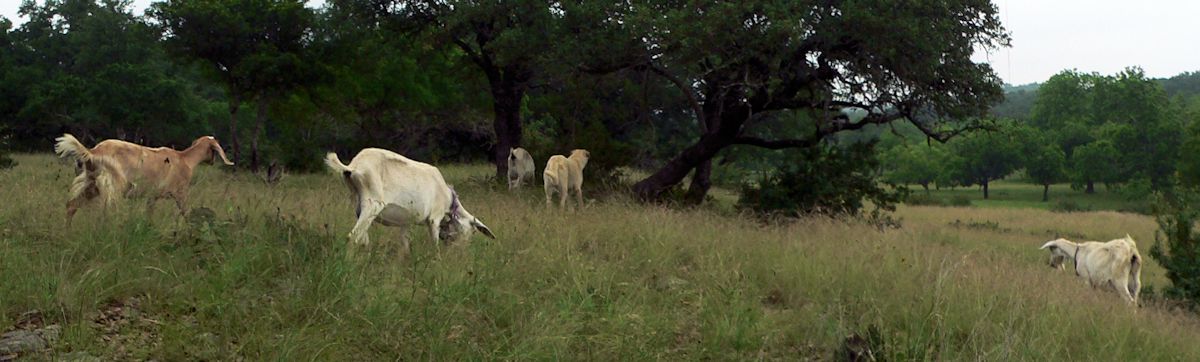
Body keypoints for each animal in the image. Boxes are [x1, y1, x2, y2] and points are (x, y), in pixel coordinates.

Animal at [52, 132, 235, 219]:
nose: (212, 162)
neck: (185, 159)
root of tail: (93, 152)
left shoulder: (151, 196)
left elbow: (149, 215)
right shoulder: (180, 193)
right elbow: (186, 213)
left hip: (89, 184)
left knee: (71, 206)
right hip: (112, 187)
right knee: (106, 213)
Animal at [324, 148, 492, 257]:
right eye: (473, 231)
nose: (460, 253)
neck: (449, 199)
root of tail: (353, 167)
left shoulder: (406, 223)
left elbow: (405, 246)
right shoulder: (434, 218)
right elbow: (435, 244)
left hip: (359, 207)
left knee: (362, 239)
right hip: (373, 204)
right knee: (352, 237)